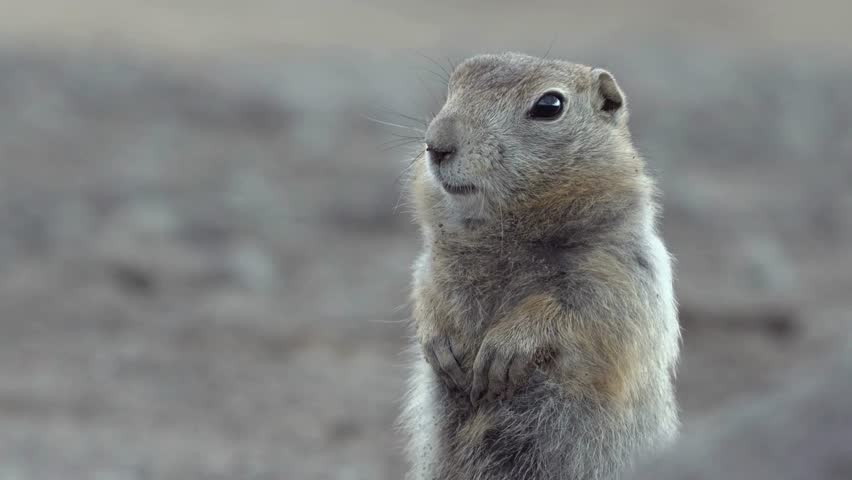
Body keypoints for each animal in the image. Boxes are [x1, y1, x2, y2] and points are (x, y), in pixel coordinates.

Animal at [399, 53, 680, 480]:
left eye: (549, 105)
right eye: (456, 82)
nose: (437, 145)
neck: (503, 234)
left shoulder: (622, 269)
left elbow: (588, 311)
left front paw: (504, 349)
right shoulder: (431, 263)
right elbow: (424, 290)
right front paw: (439, 346)